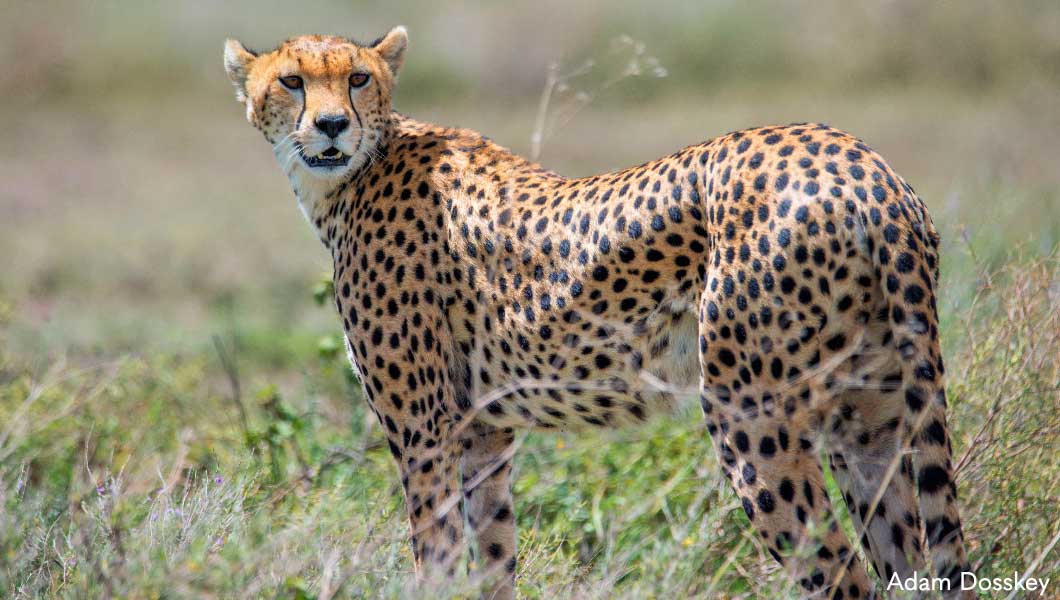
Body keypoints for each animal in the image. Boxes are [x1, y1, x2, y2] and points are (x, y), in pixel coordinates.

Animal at [225, 28, 975, 600]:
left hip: (751, 418)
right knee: (909, 558)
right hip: (870, 421)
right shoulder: (485, 435)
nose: (331, 126)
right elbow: (493, 560)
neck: (352, 175)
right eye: (291, 82)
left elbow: (435, 561)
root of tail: (865, 167)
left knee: (842, 574)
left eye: (357, 79)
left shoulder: (425, 432)